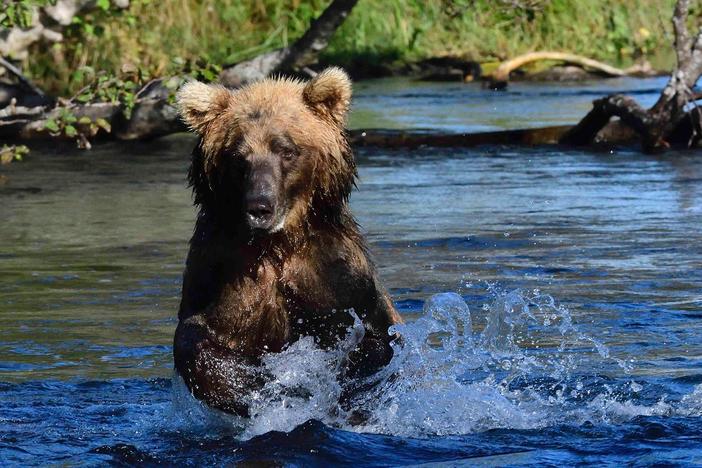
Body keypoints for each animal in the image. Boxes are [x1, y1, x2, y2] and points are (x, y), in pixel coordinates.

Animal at [174, 67, 404, 414]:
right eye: (238, 157)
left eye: (287, 150)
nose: (259, 207)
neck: (277, 244)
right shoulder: (224, 272)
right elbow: (197, 334)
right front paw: (247, 385)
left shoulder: (331, 273)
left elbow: (375, 335)